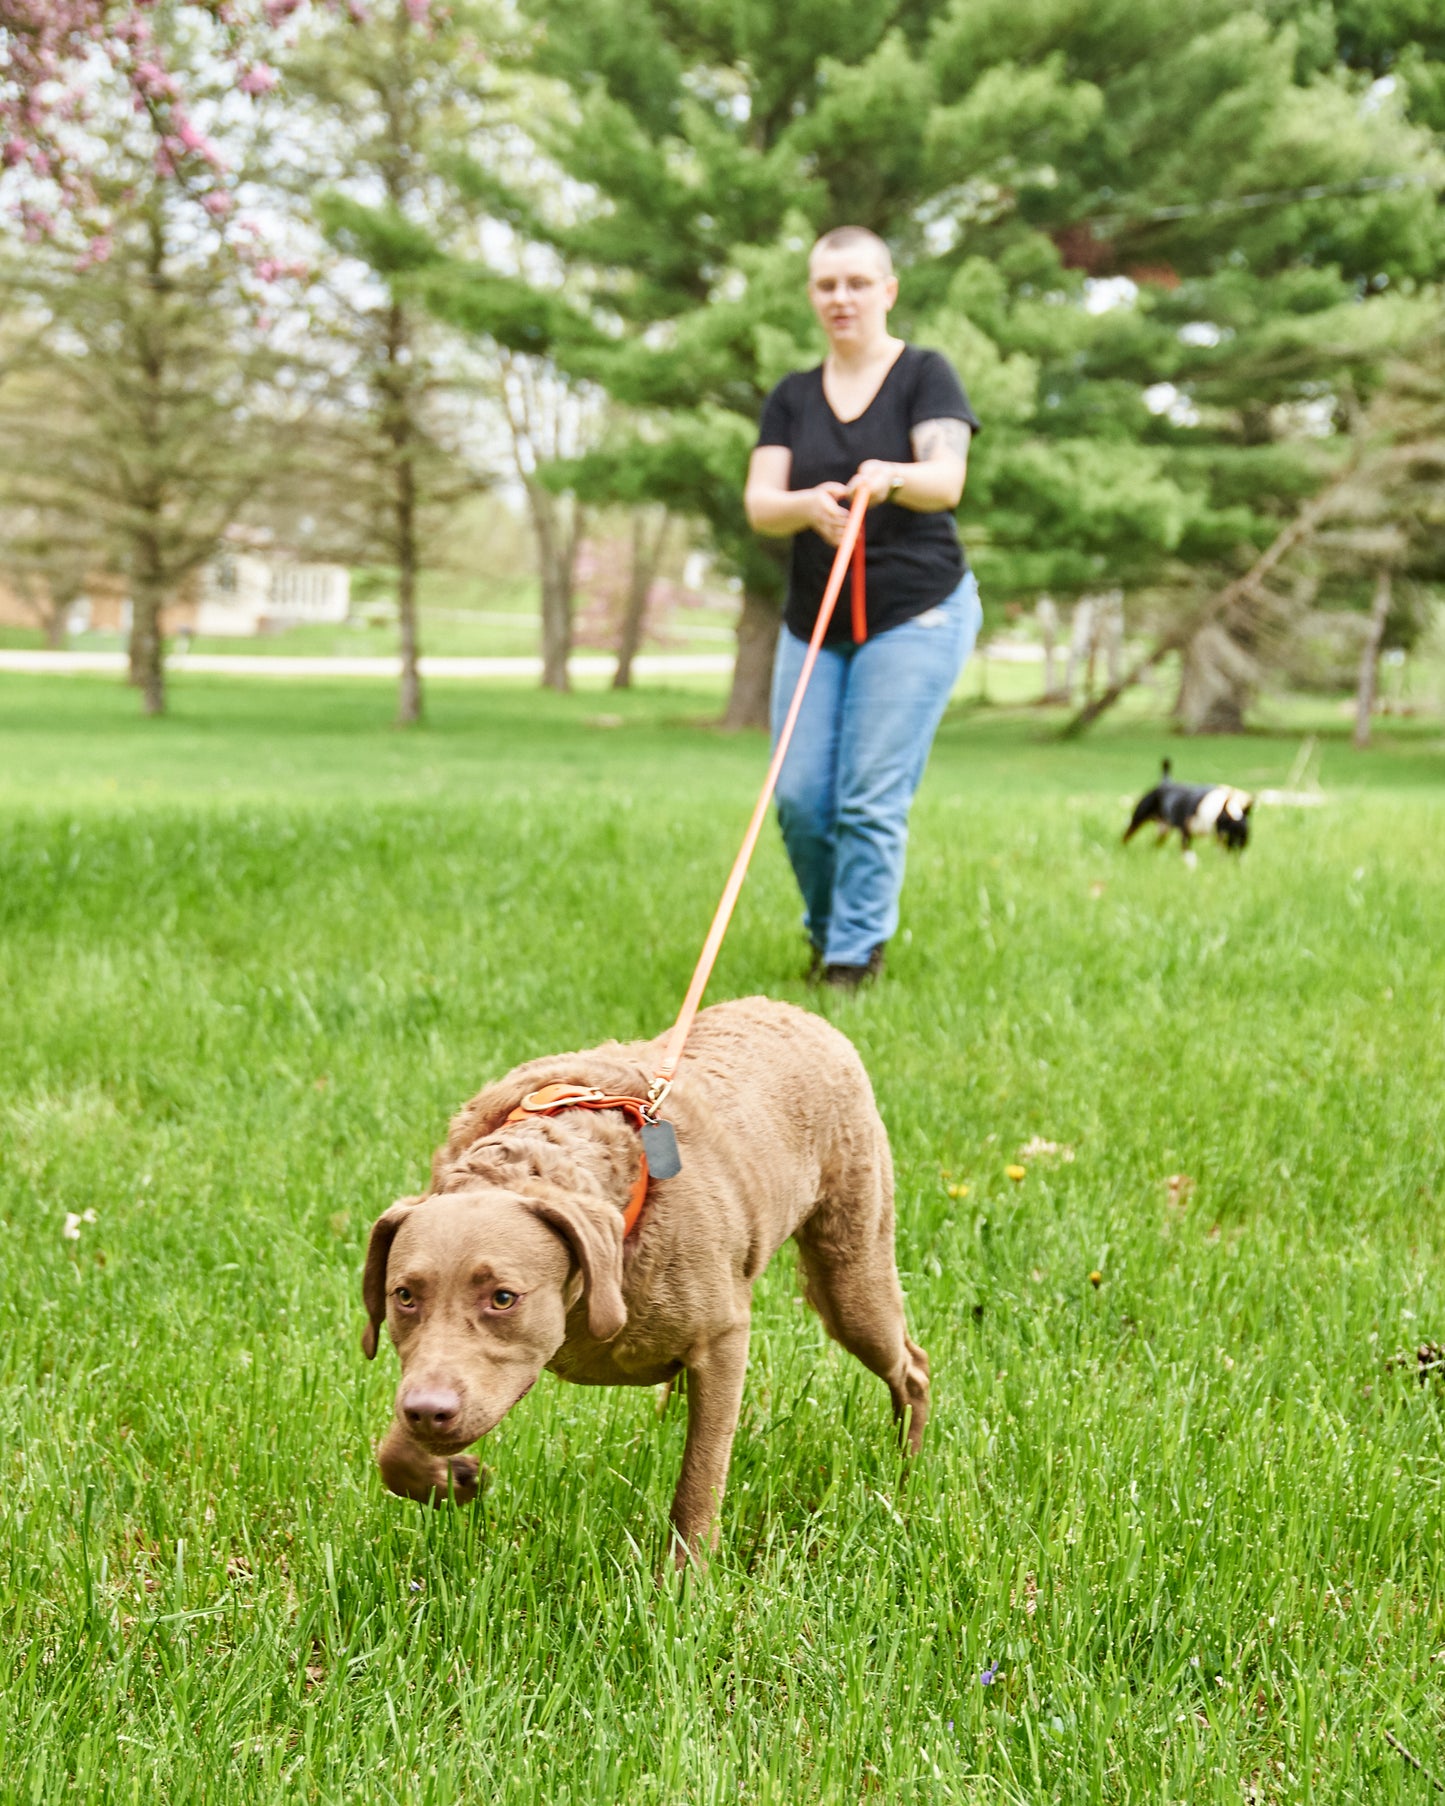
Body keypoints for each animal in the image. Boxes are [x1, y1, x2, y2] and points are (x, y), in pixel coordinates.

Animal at [357, 996, 924, 1560]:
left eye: (503, 1298)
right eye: (403, 1296)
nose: (429, 1411)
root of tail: (795, 1011)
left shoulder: (723, 1338)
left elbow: (701, 1475)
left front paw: (685, 1576)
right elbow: (394, 1454)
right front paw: (451, 1478)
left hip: (850, 1272)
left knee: (910, 1367)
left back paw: (905, 1477)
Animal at [1119, 754, 1249, 852]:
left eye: (1245, 838)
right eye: (1233, 834)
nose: (1238, 857)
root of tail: (1165, 782)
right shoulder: (1186, 832)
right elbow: (1188, 852)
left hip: (1164, 829)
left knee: (1155, 843)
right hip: (1138, 818)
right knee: (1126, 835)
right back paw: (1122, 848)